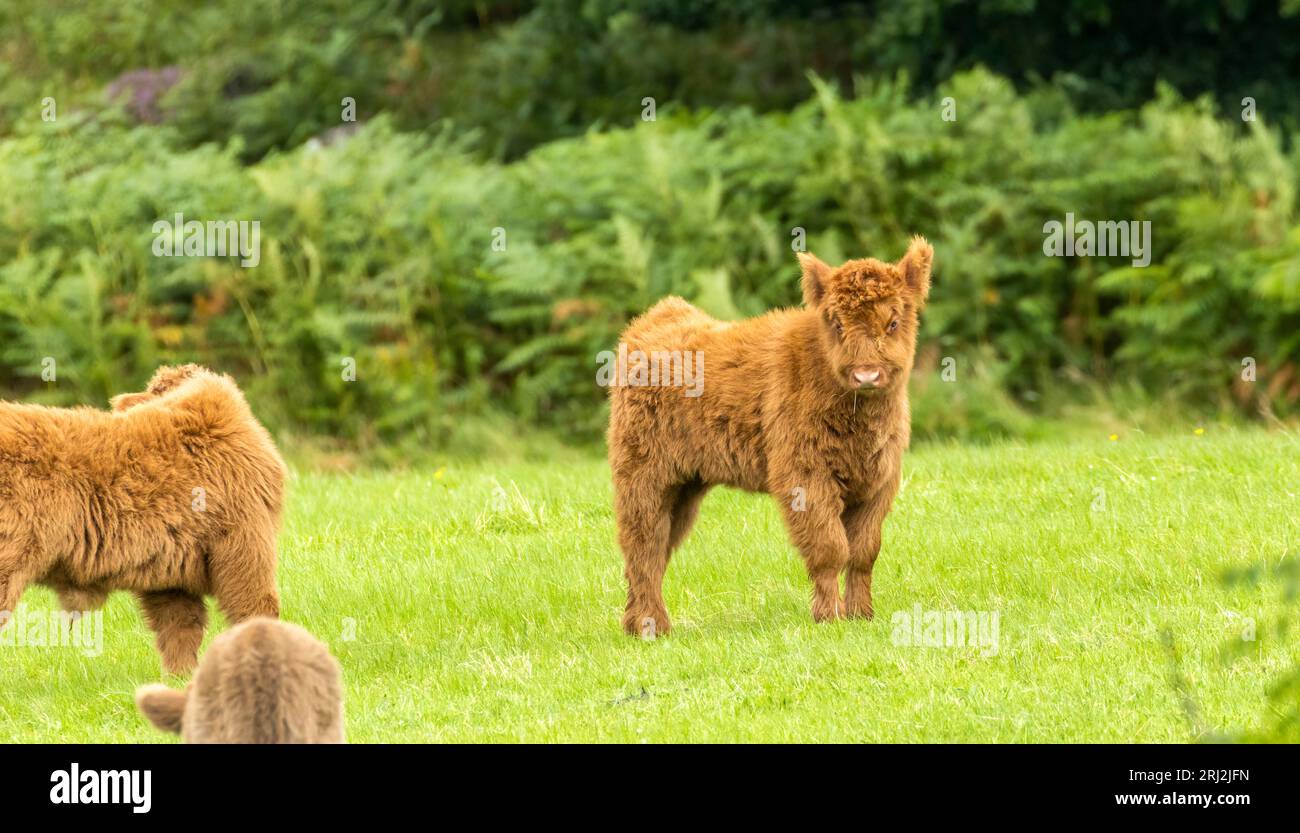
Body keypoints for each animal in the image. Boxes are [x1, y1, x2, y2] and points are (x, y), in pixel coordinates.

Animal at [608, 236, 935, 634]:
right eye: (837, 324)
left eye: (893, 322)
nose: (867, 374)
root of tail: (657, 317)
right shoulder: (805, 476)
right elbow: (830, 548)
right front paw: (830, 617)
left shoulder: (880, 480)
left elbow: (863, 552)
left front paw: (861, 615)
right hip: (643, 476)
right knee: (643, 546)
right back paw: (650, 626)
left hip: (684, 486)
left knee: (656, 549)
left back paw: (639, 624)